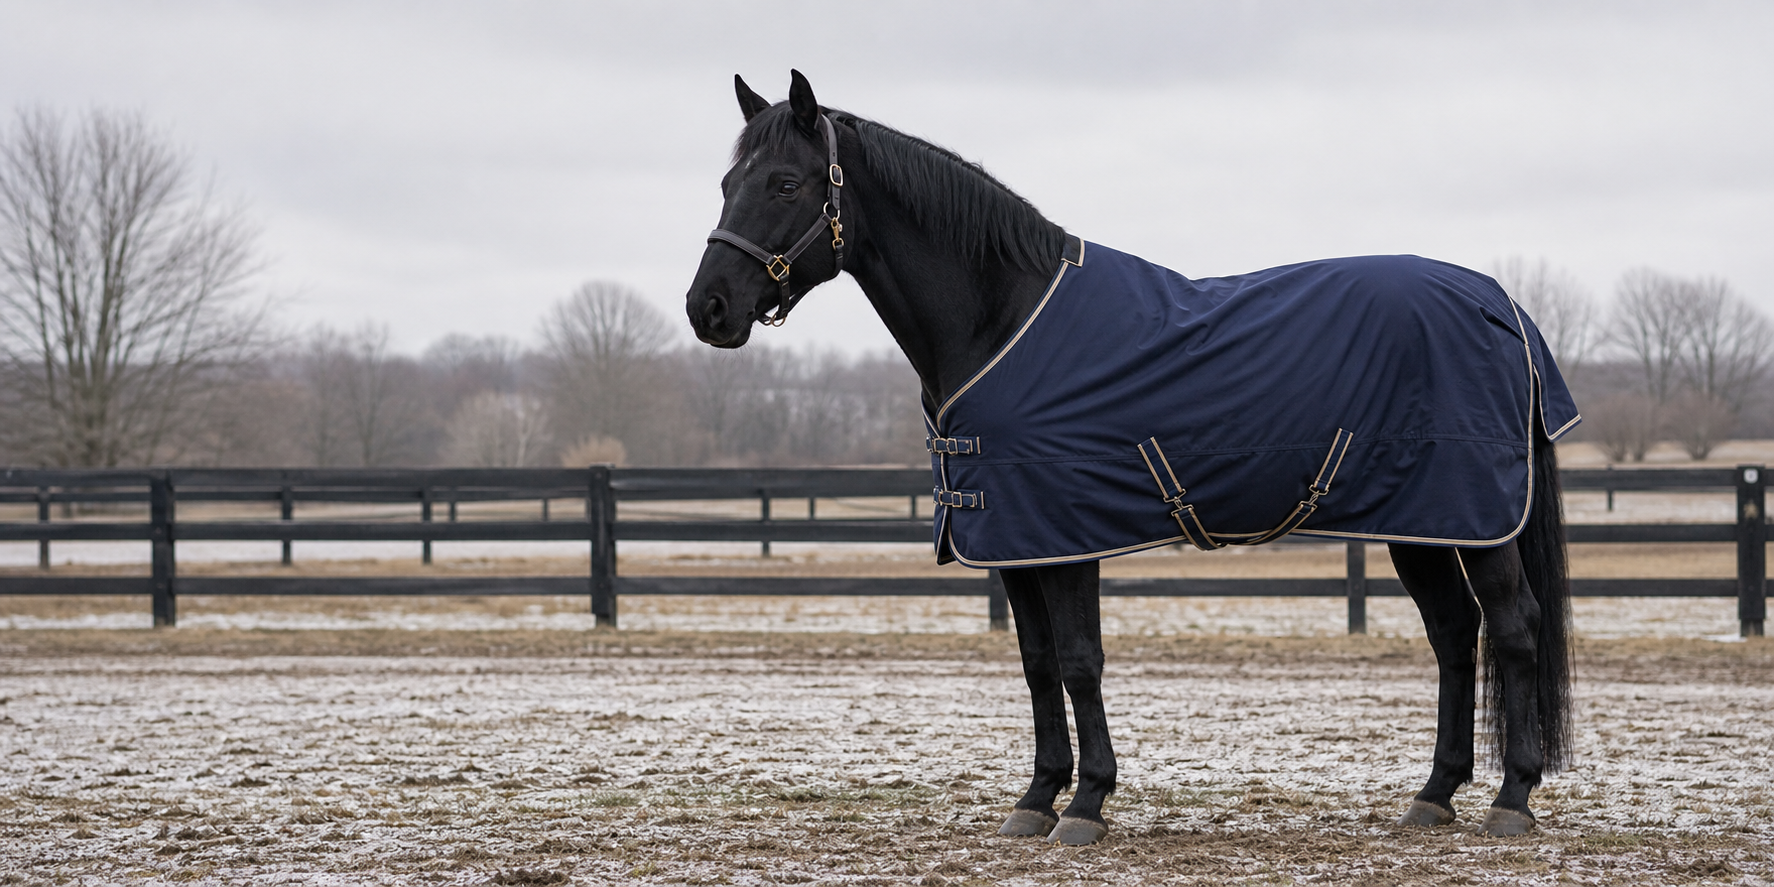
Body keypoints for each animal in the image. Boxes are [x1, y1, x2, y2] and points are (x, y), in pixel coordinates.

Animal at [684, 70, 1574, 846]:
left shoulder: (1065, 533)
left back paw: (1512, 797)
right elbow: (1038, 663)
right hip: (1422, 521)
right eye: (727, 184)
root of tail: (1501, 305)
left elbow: (1081, 661)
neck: (1002, 318)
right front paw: (1037, 798)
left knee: (1513, 626)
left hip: (1477, 521)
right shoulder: (1016, 540)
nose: (708, 308)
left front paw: (1087, 804)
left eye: (786, 184)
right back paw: (1434, 793)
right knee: (1455, 634)